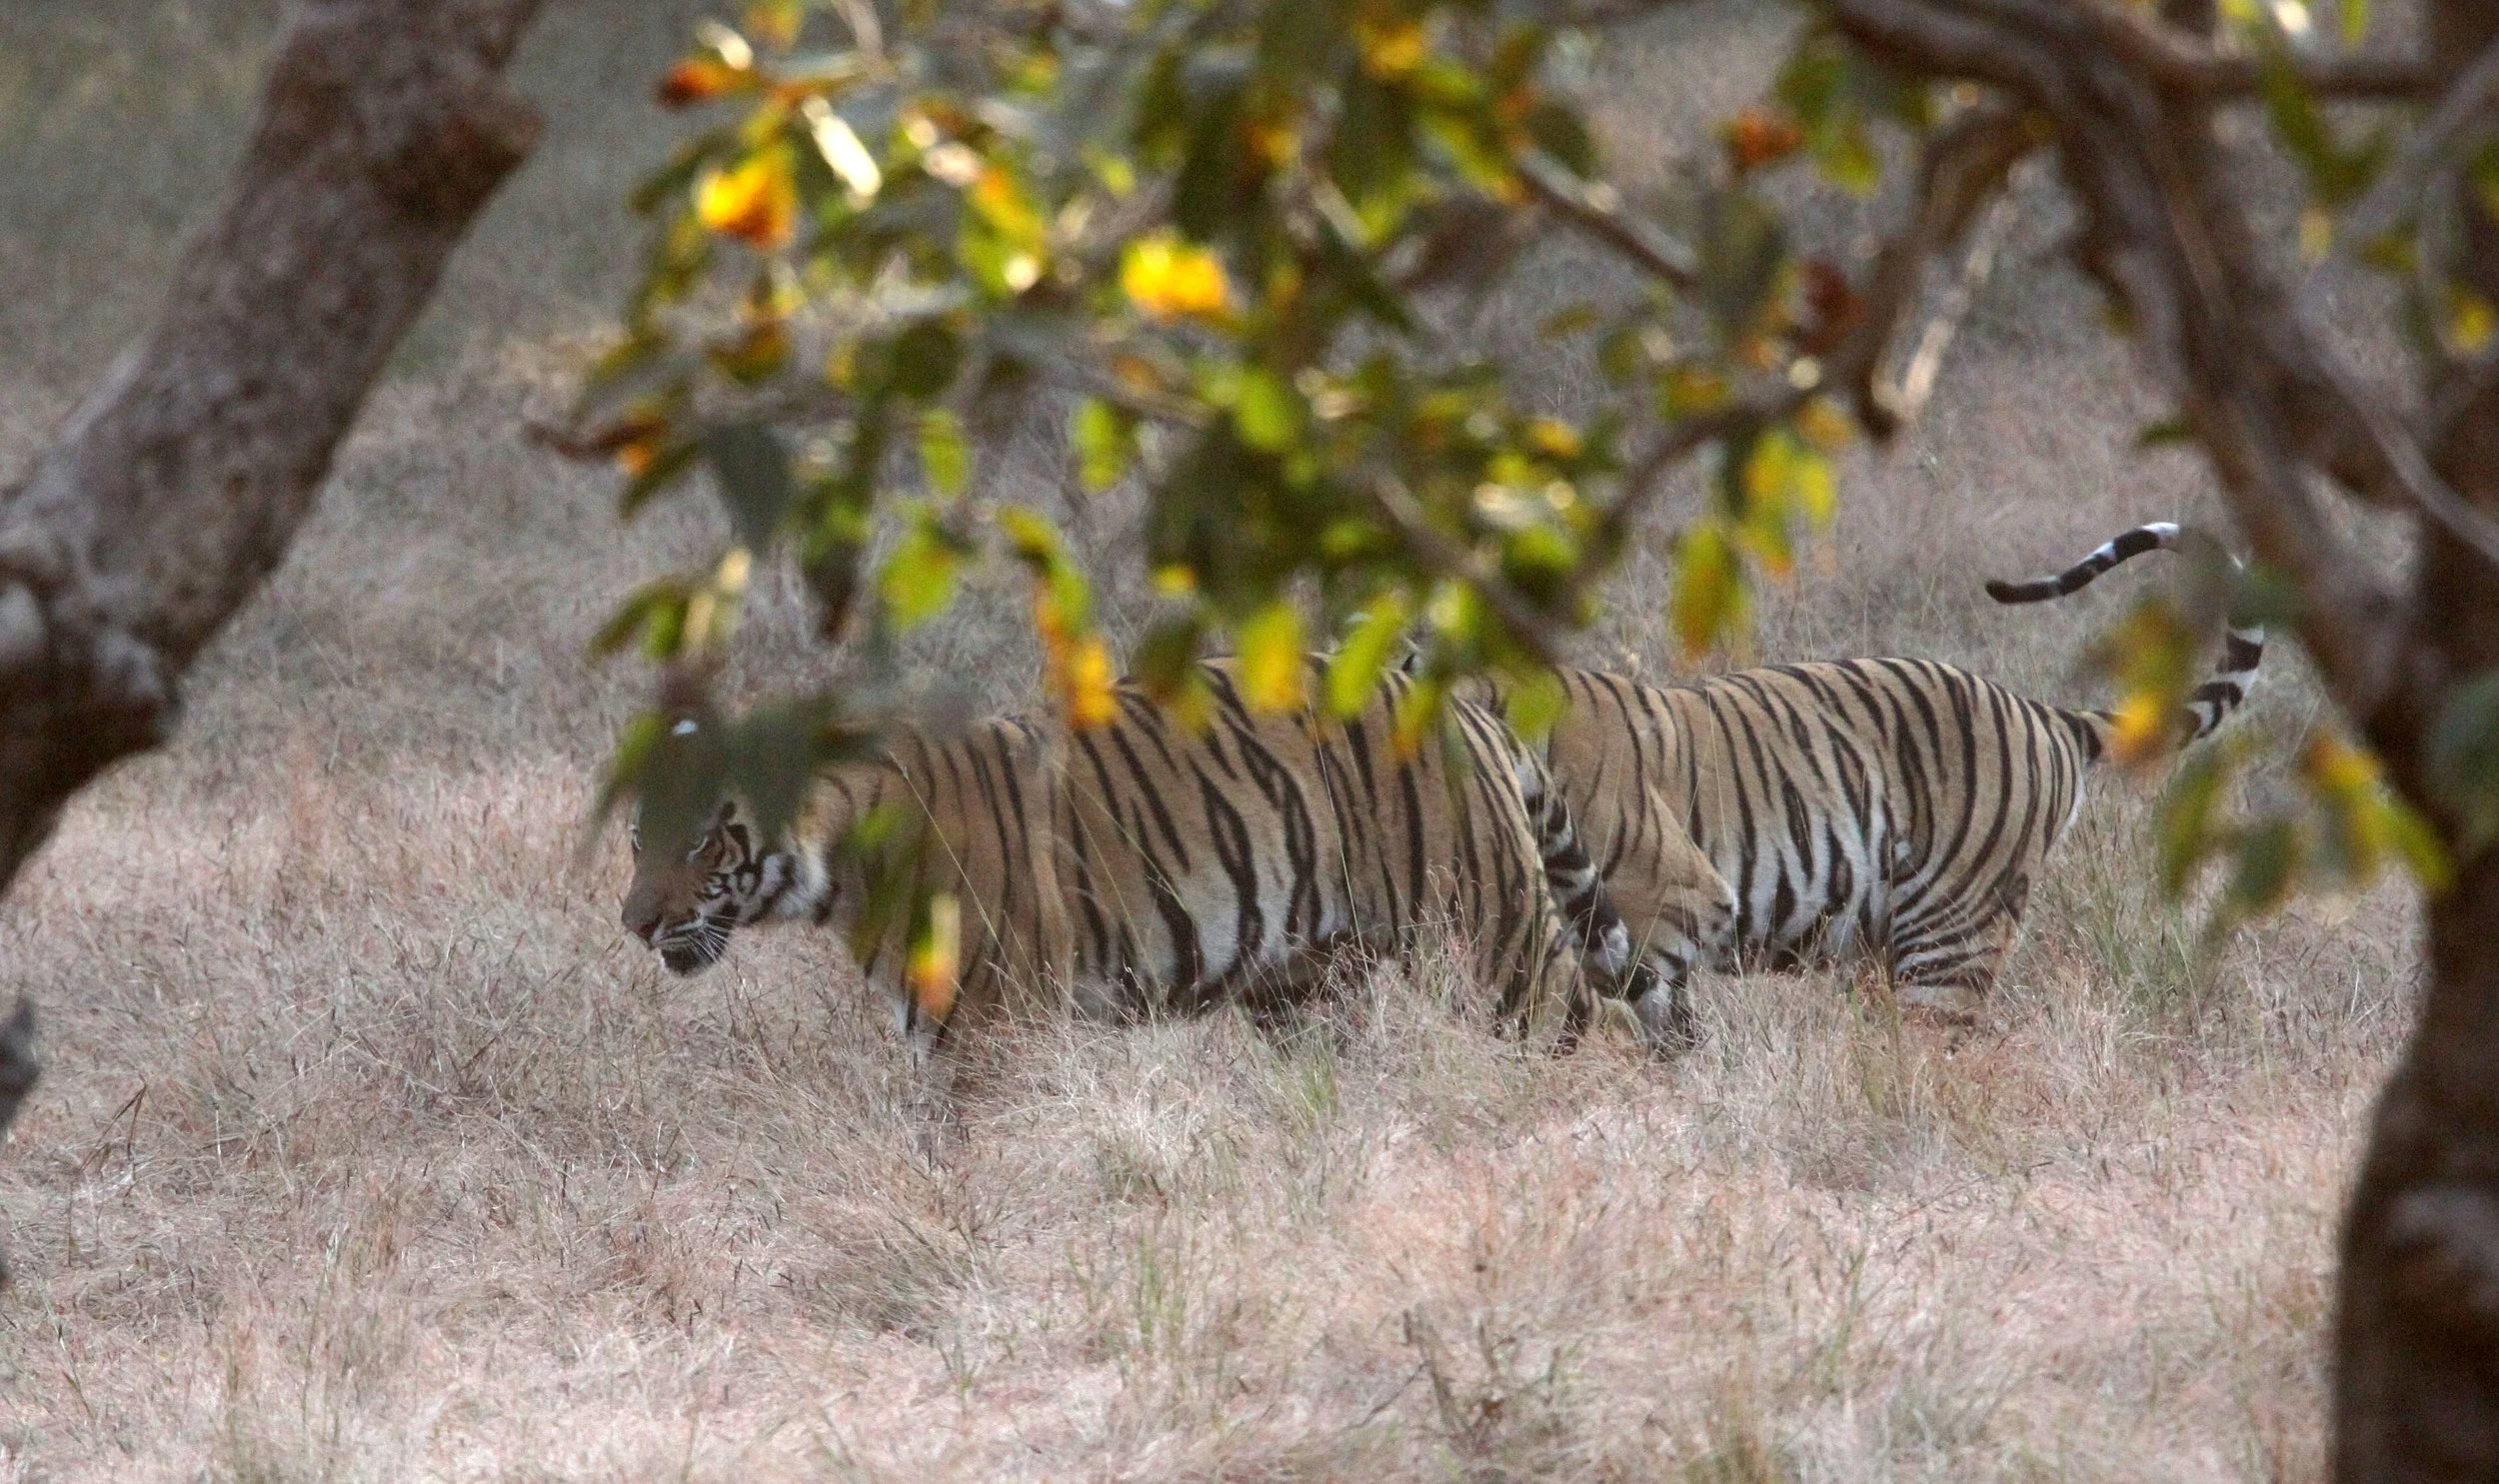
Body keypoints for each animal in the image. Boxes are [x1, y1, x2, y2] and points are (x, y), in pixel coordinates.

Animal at [618, 656, 1687, 1102]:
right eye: (636, 835)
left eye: (704, 840)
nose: (632, 923)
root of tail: (1463, 702)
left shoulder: (992, 1030)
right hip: (1303, 983)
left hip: (1490, 933)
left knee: (1593, 1029)